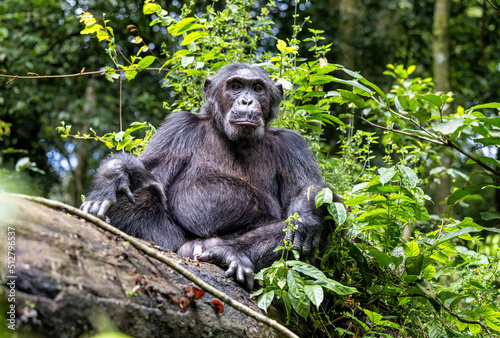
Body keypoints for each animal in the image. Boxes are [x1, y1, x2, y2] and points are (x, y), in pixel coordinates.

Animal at [82, 62, 342, 288]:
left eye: (258, 88)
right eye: (235, 86)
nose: (246, 100)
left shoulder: (292, 145)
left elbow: (307, 187)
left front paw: (305, 215)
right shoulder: (179, 127)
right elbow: (150, 170)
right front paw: (111, 177)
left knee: (324, 220)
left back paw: (230, 253)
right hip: (172, 243)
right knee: (142, 193)